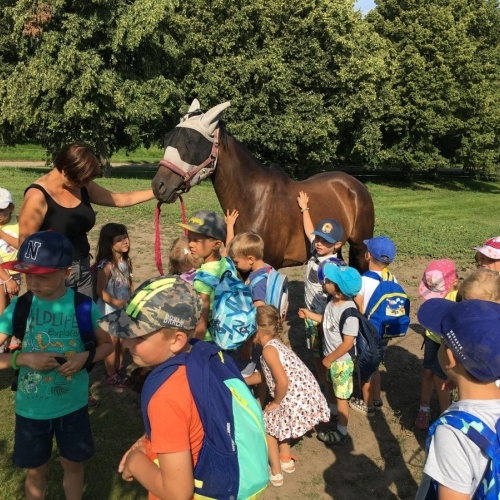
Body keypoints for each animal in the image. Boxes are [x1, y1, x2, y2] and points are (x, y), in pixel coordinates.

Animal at [152, 99, 376, 272]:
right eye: (168, 138)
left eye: (192, 143)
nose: (159, 186)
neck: (255, 201)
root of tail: (355, 185)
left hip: (360, 247)